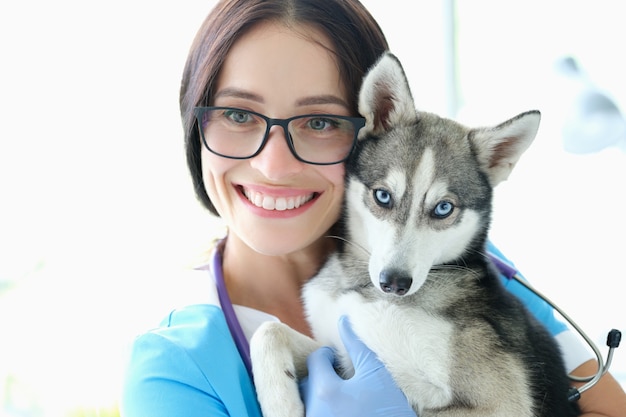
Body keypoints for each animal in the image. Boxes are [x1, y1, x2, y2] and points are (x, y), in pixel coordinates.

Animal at [246, 52, 576, 416]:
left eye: (443, 208)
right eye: (383, 196)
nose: (394, 282)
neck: (361, 287)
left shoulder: (502, 403)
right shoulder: (338, 347)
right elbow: (269, 330)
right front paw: (281, 402)